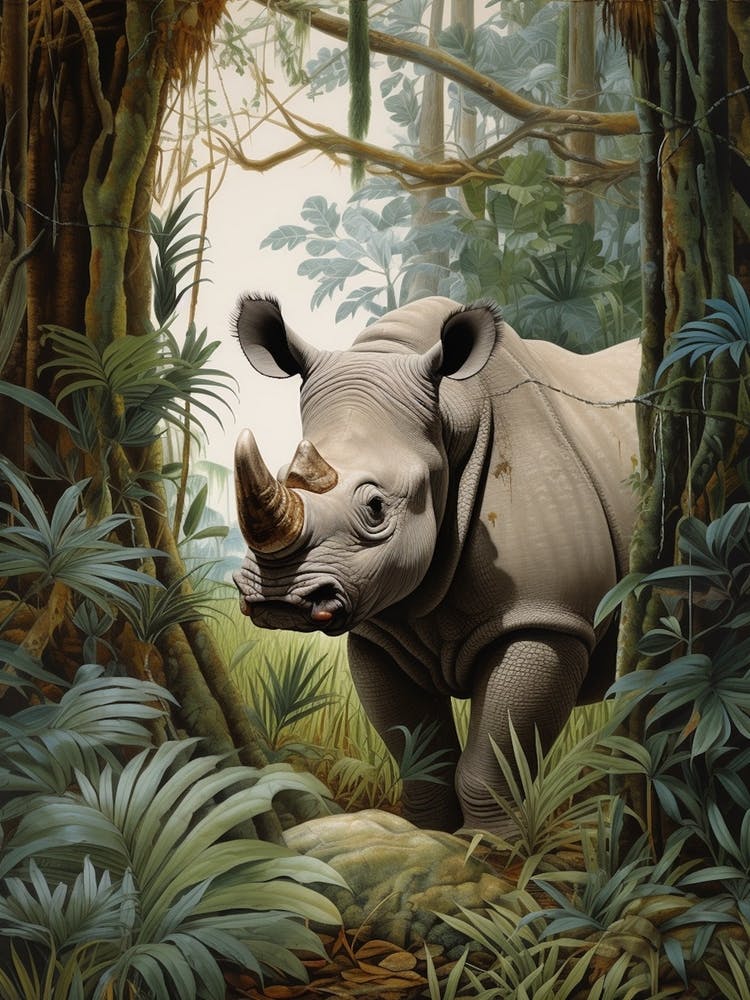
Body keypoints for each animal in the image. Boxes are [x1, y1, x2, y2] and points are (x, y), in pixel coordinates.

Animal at [232, 294, 639, 834]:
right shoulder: (379, 634)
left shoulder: (548, 619)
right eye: (281, 475)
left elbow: (493, 760)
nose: (279, 597)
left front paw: (489, 845)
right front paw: (427, 834)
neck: (449, 416)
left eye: (376, 507)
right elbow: (421, 757)